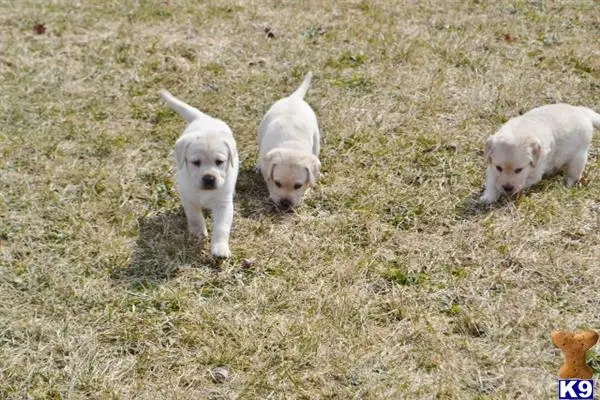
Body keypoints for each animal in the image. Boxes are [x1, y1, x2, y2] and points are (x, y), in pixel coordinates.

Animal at [159, 89, 239, 258]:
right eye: (196, 162)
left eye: (219, 162)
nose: (209, 178)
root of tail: (203, 118)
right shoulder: (188, 197)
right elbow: (194, 216)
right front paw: (198, 232)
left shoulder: (223, 204)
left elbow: (221, 227)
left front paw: (220, 248)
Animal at [258, 72, 324, 209]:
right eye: (277, 183)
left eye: (298, 186)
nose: (285, 204)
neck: (291, 146)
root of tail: (295, 98)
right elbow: (267, 177)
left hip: (317, 139)